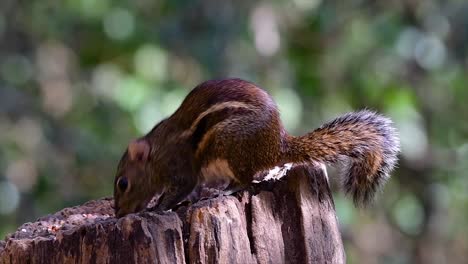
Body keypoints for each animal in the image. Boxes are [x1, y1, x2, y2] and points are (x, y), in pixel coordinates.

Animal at [112, 78, 398, 217]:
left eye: (123, 184)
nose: (118, 214)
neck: (156, 153)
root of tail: (278, 146)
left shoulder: (179, 167)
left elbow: (181, 188)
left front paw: (155, 209)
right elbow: (189, 192)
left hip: (233, 148)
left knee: (247, 181)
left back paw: (227, 191)